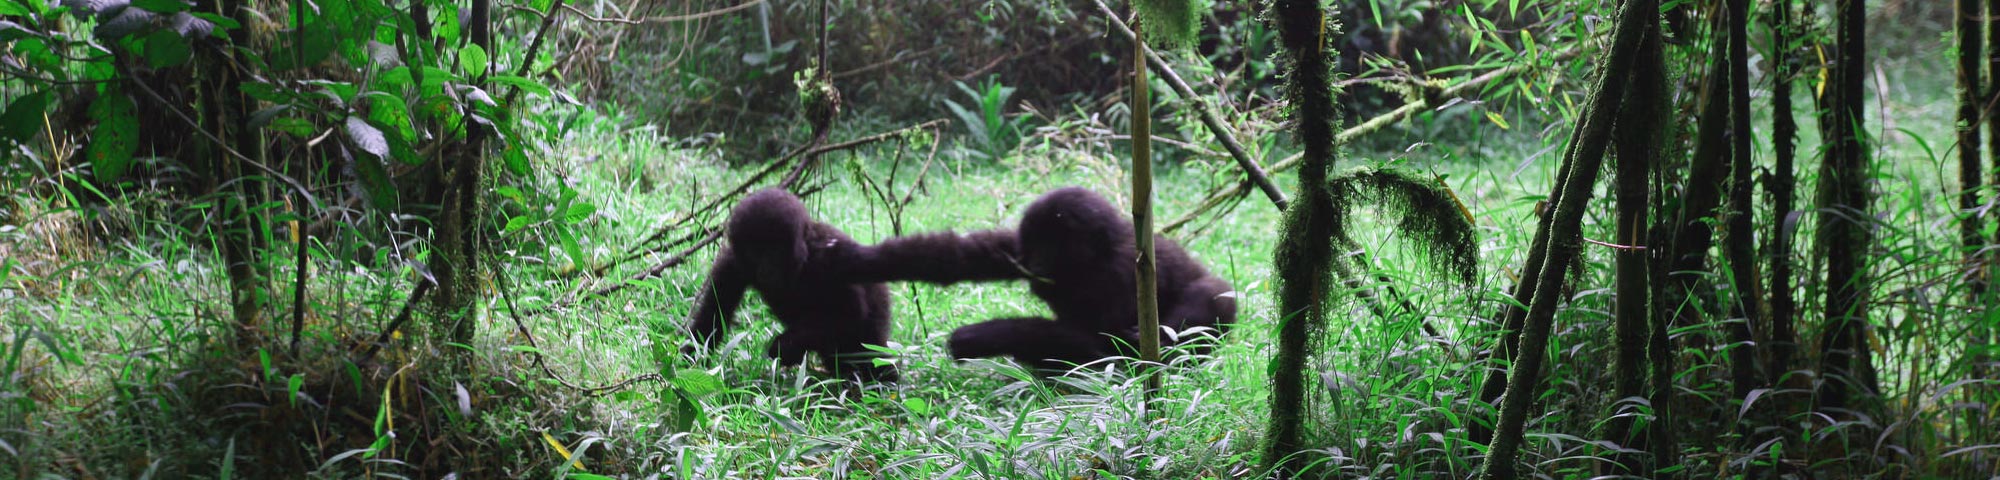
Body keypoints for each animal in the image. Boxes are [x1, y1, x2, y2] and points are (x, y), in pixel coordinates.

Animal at [692, 189, 904, 380]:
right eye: (755, 251)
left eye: (776, 249)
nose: (767, 268)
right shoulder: (732, 263)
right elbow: (711, 318)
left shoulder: (827, 259)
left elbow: (850, 312)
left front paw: (785, 346)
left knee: (868, 346)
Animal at [832, 187, 1232, 372]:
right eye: (1034, 244)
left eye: (1052, 245)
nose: (1034, 264)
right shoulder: (1016, 245)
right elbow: (960, 256)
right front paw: (855, 259)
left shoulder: (1119, 275)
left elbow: (1112, 352)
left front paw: (984, 336)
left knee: (1214, 296)